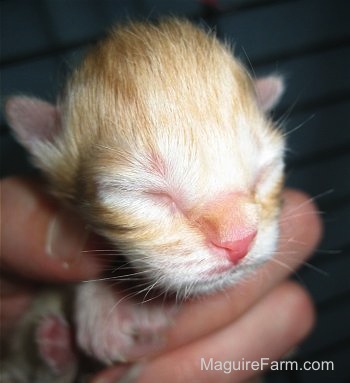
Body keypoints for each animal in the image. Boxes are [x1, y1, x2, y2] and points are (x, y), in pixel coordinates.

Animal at [2, 18, 284, 383]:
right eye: (147, 194)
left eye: (264, 173)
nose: (239, 241)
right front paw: (107, 303)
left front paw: (134, 304)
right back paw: (55, 347)